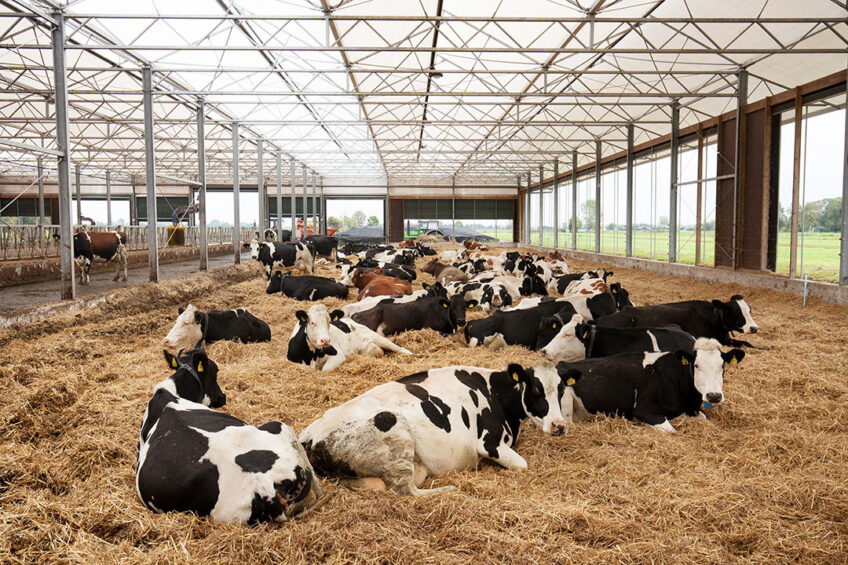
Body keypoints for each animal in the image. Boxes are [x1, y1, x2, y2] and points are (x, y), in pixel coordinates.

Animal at [298, 360, 564, 496]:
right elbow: (523, 465)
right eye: (536, 389)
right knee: (406, 491)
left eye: (562, 389)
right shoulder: (490, 444)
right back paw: (450, 490)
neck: (497, 394)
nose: (559, 425)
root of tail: (309, 436)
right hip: (393, 428)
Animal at [560, 340, 744, 432]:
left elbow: (703, 418)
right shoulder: (644, 410)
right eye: (696, 365)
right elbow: (671, 430)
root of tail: (561, 364)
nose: (714, 396)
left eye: (723, 365)